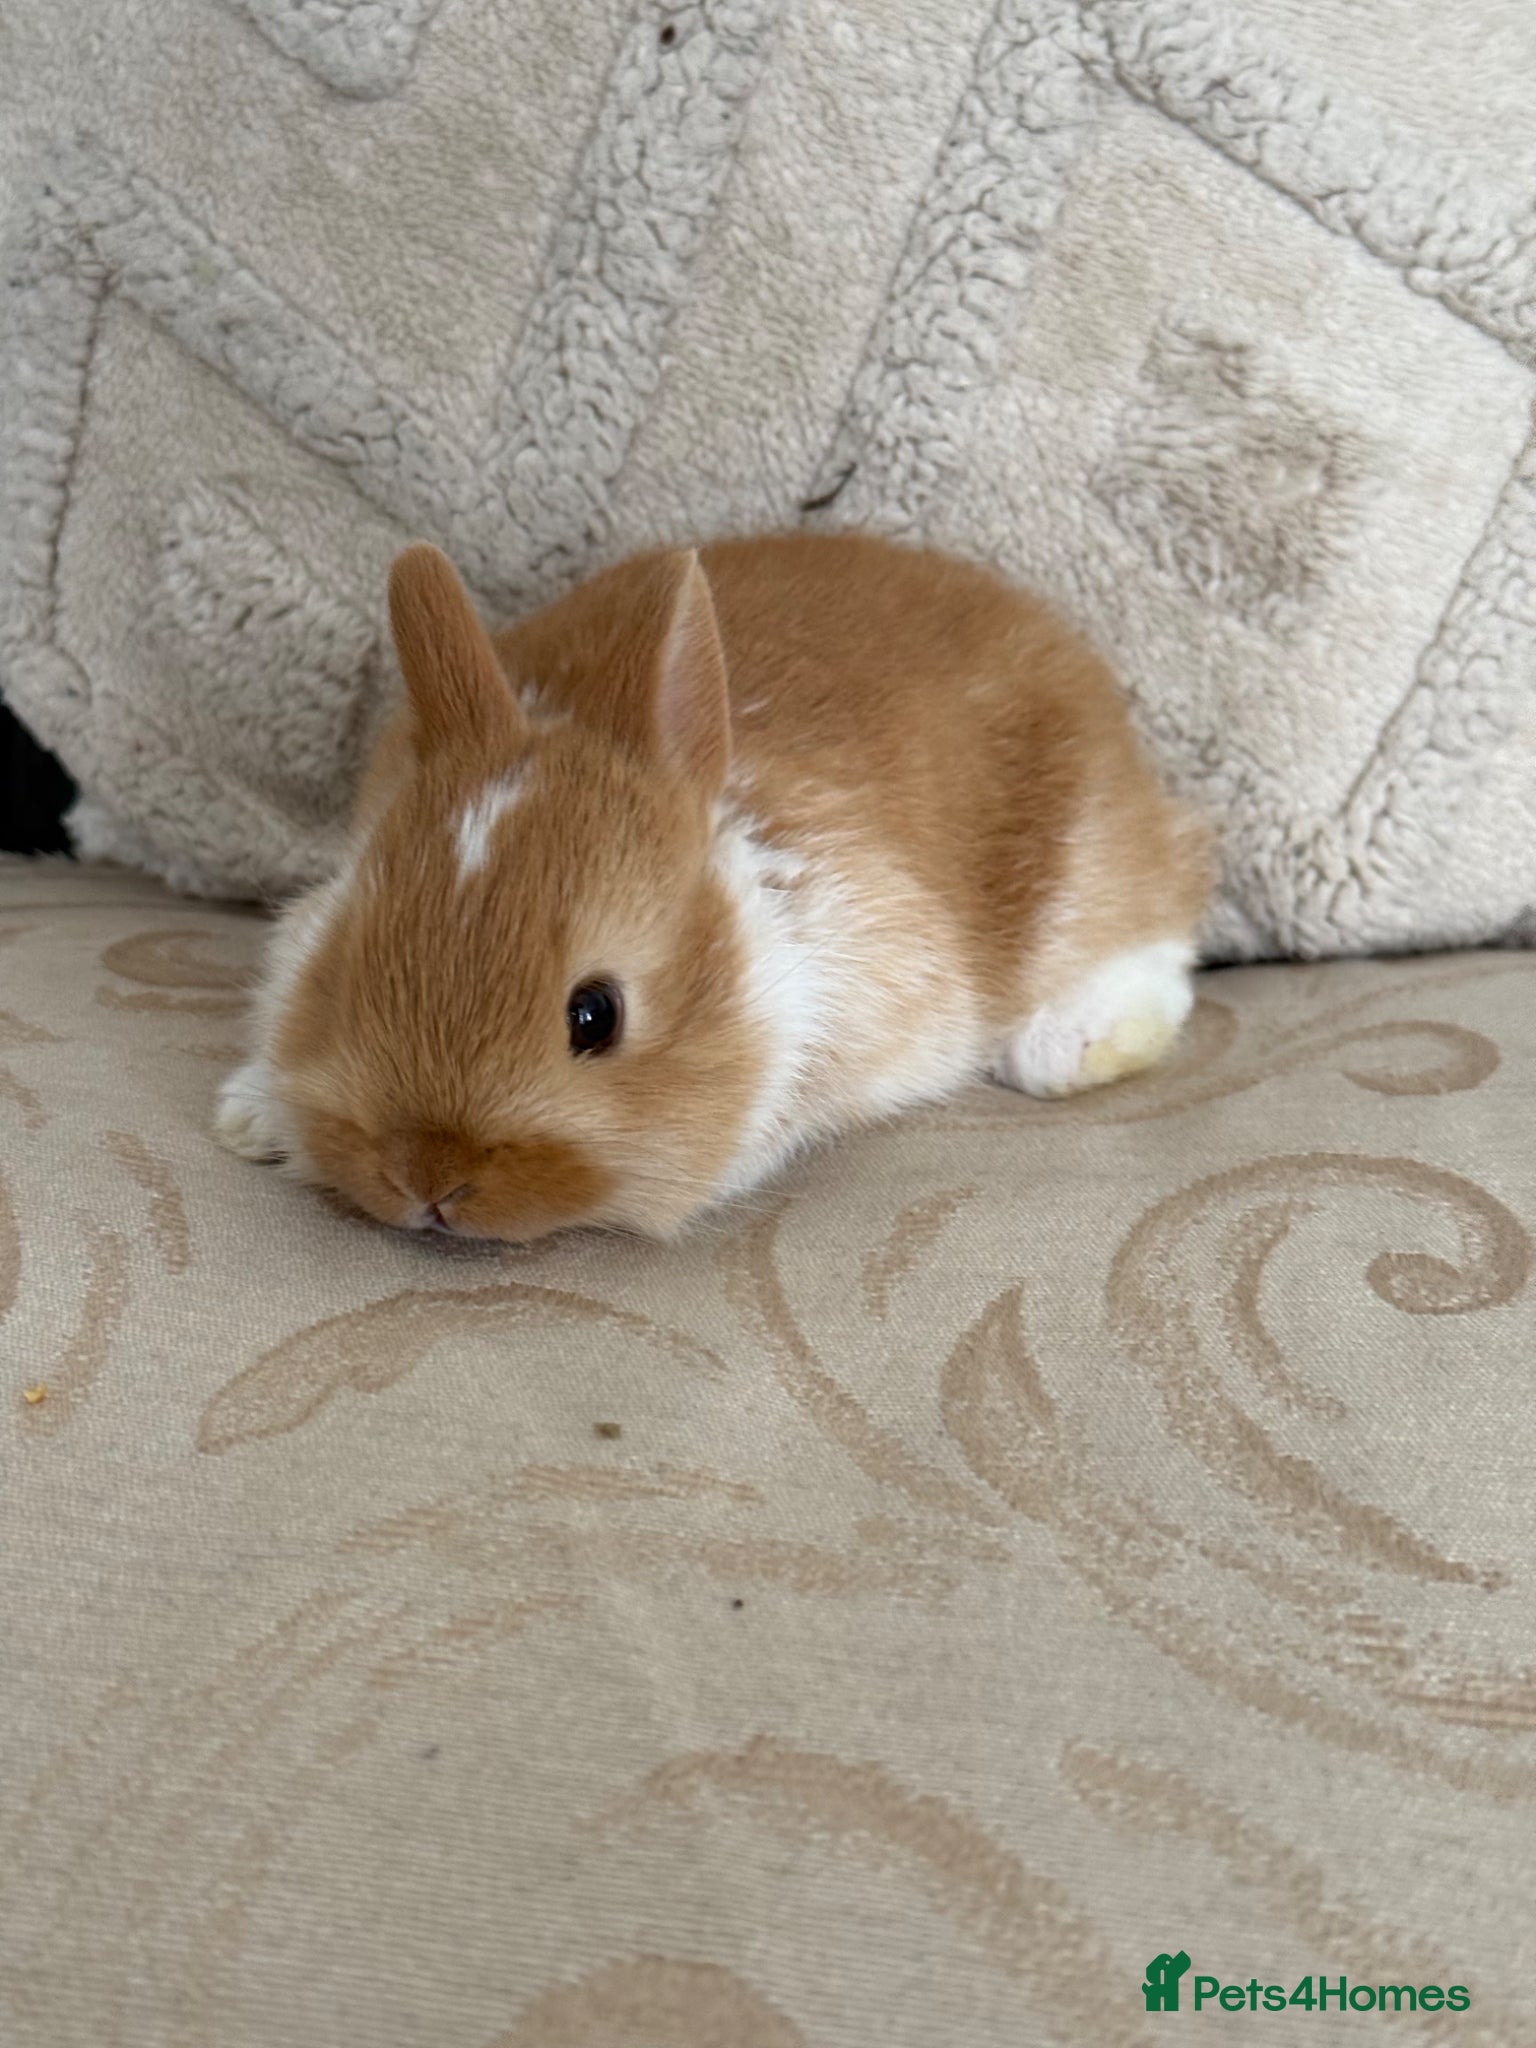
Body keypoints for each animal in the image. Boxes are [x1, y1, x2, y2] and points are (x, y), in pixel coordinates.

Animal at [216, 533, 1211, 1242]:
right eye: (345, 973)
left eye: (595, 1015)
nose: (428, 1177)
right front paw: (251, 1117)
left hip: (1090, 864)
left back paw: (1075, 1041)